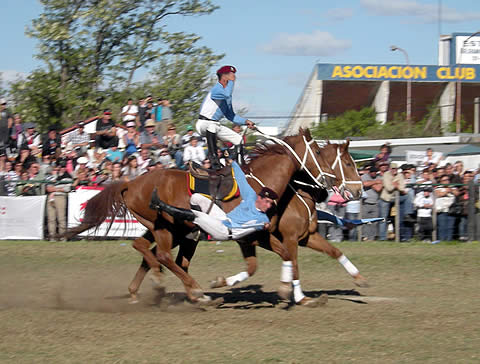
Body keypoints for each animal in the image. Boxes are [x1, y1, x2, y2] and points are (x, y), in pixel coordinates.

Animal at [125, 141, 362, 306]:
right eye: (348, 163)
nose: (359, 190)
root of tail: (130, 184)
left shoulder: (304, 237)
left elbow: (334, 251)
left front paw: (358, 278)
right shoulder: (286, 237)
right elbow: (293, 265)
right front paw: (300, 297)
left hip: (179, 234)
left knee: (149, 251)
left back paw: (147, 289)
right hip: (169, 230)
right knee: (161, 255)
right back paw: (182, 289)